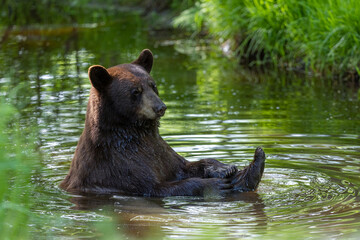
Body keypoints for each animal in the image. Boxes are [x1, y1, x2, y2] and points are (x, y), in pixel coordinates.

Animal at [59, 49, 264, 197]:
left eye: (153, 85)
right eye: (135, 91)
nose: (161, 107)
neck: (135, 132)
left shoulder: (160, 151)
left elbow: (183, 166)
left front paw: (224, 168)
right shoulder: (116, 165)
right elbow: (154, 186)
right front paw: (216, 185)